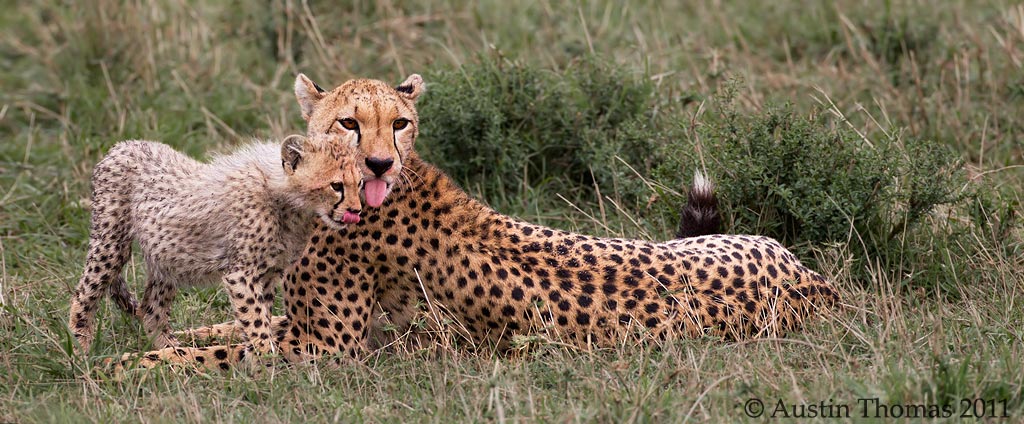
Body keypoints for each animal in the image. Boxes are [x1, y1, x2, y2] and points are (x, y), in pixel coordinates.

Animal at [67, 133, 365, 356]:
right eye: (336, 185)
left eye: (360, 182)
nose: (356, 211)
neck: (285, 198)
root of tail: (123, 145)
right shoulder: (241, 274)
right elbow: (256, 320)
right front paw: (267, 365)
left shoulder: (267, 274)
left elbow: (261, 316)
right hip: (111, 242)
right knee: (84, 294)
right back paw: (81, 348)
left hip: (166, 256)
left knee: (152, 309)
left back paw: (174, 351)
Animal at [117, 74, 839, 371]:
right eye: (349, 121)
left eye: (399, 122)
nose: (379, 163)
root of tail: (817, 284)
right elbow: (225, 329)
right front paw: (164, 339)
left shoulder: (329, 345)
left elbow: (225, 352)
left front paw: (135, 365)